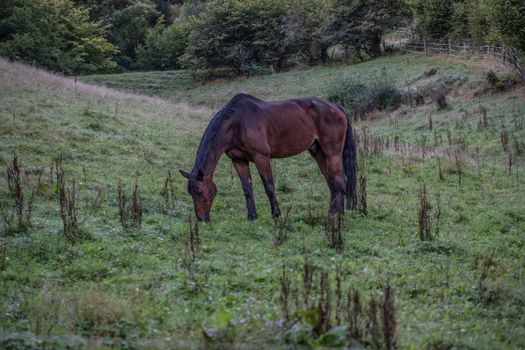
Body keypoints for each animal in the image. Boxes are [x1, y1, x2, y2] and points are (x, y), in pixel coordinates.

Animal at [180, 93, 356, 221]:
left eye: (200, 191)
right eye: (190, 193)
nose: (202, 219)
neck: (237, 124)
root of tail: (336, 107)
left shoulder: (261, 157)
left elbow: (269, 186)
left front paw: (276, 214)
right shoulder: (239, 161)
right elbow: (247, 188)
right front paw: (252, 216)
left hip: (332, 152)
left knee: (340, 180)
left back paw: (338, 214)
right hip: (318, 151)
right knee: (331, 181)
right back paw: (331, 212)